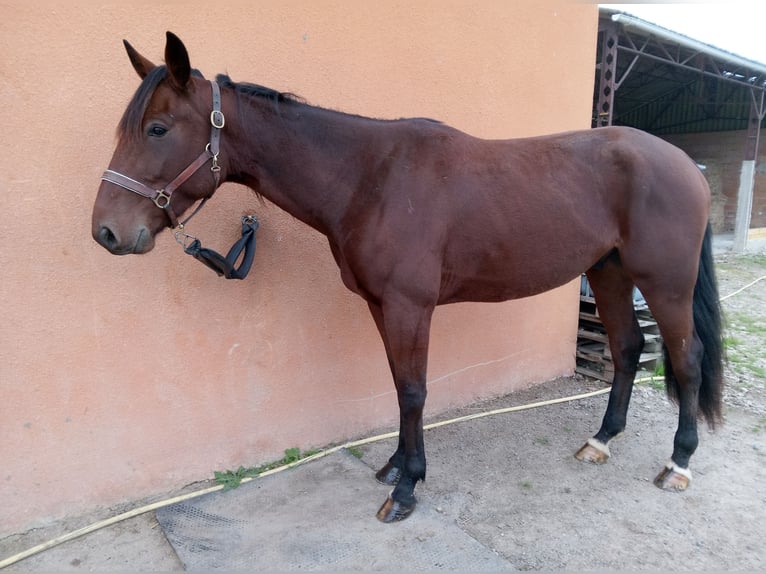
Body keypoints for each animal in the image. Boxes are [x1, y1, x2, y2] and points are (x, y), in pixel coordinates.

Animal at [91, 33, 728, 524]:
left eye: (157, 128)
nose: (107, 232)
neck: (368, 177)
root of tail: (687, 166)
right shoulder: (382, 305)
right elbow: (400, 387)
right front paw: (396, 466)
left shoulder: (409, 307)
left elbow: (416, 391)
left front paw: (406, 489)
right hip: (610, 272)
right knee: (627, 349)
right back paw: (600, 441)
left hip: (664, 283)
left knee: (686, 358)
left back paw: (678, 463)